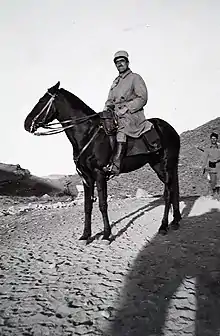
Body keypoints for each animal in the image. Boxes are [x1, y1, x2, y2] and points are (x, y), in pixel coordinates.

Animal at [24, 81, 182, 242]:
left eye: (42, 101)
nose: (27, 123)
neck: (88, 134)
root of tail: (171, 129)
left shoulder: (99, 173)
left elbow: (102, 204)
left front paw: (106, 234)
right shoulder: (87, 177)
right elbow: (87, 206)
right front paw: (86, 235)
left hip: (166, 164)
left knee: (168, 193)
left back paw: (163, 226)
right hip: (158, 166)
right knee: (173, 189)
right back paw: (175, 221)